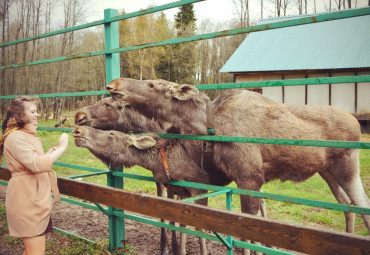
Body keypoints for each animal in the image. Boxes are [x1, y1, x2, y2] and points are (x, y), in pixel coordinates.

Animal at [106, 76, 370, 234]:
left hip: (348, 165)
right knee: (347, 205)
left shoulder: (249, 178)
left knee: (362, 204)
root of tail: (357, 124)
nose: (114, 84)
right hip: (327, 170)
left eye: (151, 84)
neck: (210, 124)